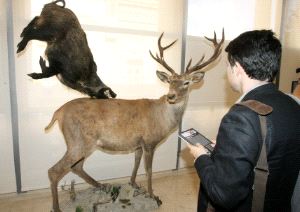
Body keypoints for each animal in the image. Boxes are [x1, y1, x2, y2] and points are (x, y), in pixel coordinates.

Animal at [44, 30, 223, 212]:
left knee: (76, 167)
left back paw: (102, 186)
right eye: (170, 81)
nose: (171, 96)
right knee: (55, 170)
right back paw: (58, 207)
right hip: (79, 141)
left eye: (186, 82)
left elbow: (136, 162)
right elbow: (149, 169)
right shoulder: (149, 141)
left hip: (80, 143)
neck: (163, 118)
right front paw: (152, 195)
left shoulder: (138, 143)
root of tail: (58, 113)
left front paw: (134, 184)